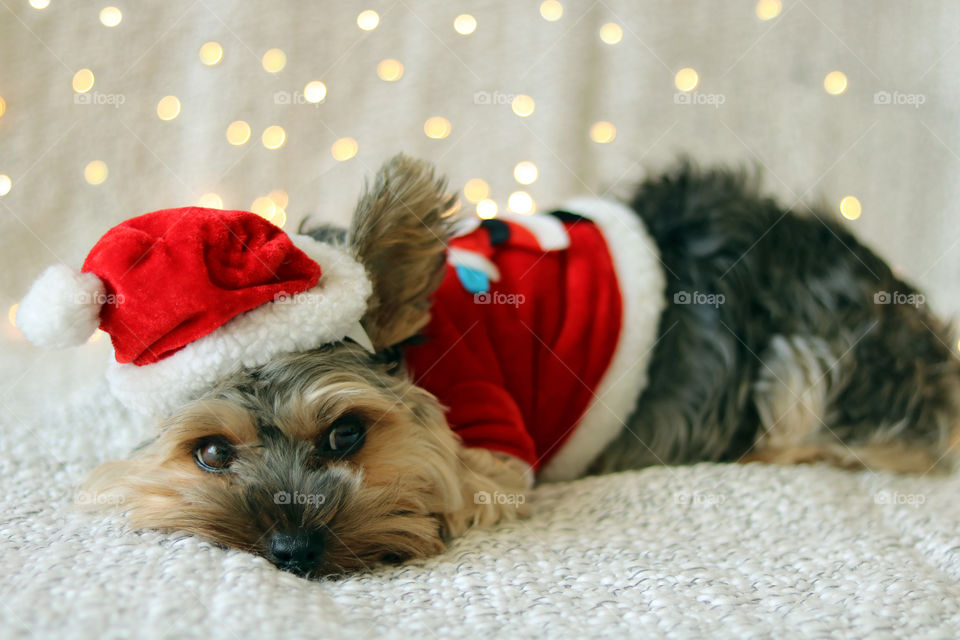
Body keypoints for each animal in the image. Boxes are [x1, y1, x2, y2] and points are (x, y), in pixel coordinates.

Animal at [16, 156, 960, 580]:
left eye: (348, 434)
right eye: (210, 453)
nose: (291, 549)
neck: (421, 353)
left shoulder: (491, 445)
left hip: (816, 371)